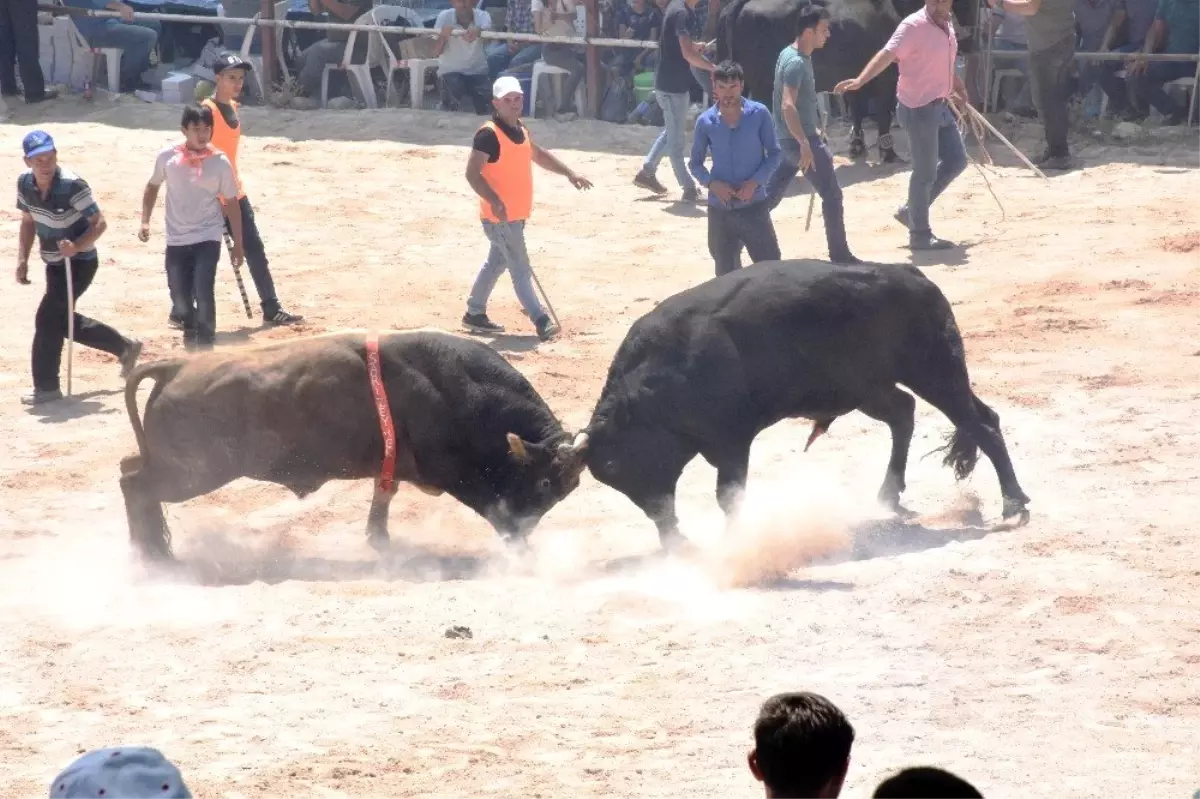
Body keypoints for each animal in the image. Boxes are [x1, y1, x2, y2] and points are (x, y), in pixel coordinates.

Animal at [118, 326, 590, 556]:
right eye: (544, 483)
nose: (521, 536)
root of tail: (177, 367)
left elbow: (383, 499)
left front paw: (378, 542)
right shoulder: (455, 473)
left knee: (129, 471)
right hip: (191, 474)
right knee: (135, 485)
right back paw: (154, 553)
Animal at [580, 257, 1032, 544]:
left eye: (617, 464)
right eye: (610, 477)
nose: (670, 534)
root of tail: (911, 274)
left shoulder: (732, 440)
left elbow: (729, 494)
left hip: (935, 373)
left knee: (981, 424)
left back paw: (1013, 504)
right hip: (873, 387)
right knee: (915, 413)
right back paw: (888, 493)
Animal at [710, 0, 974, 161]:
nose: (966, 33)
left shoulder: (854, 73)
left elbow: (857, 106)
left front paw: (857, 146)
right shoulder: (887, 75)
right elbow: (883, 112)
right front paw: (888, 153)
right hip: (764, 81)